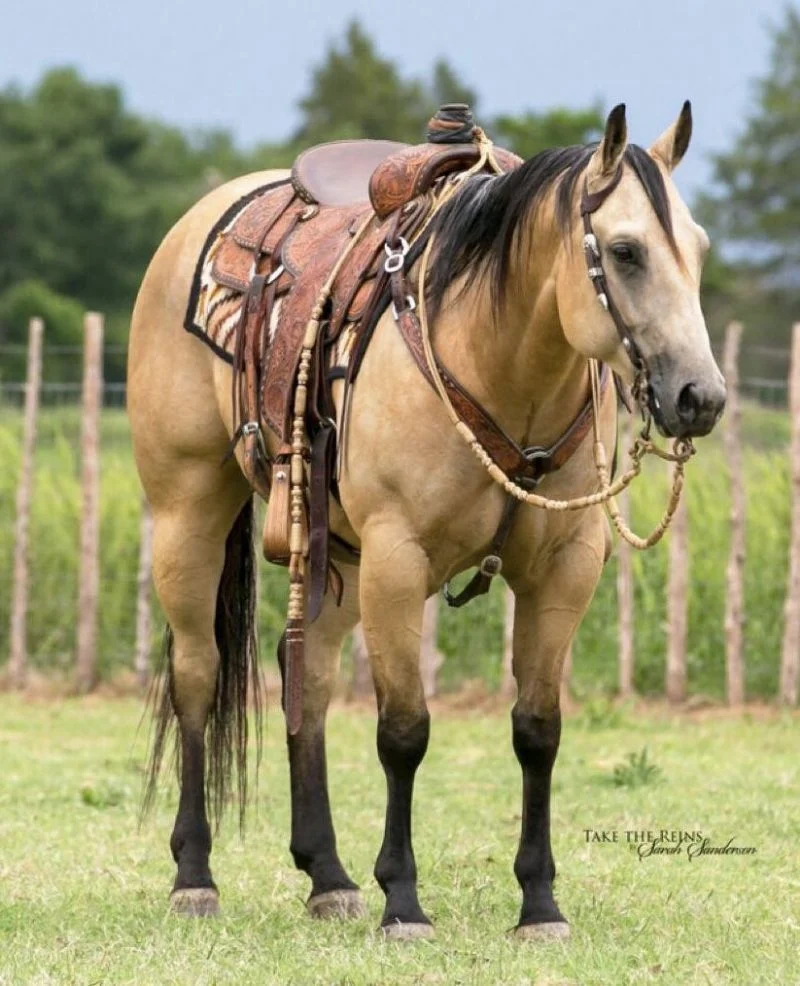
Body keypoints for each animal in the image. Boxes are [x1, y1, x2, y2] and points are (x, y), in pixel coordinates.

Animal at [127, 102, 725, 939]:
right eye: (627, 251)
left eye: (697, 249)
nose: (701, 397)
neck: (498, 363)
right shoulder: (397, 558)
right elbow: (404, 731)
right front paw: (403, 902)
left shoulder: (564, 569)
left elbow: (538, 730)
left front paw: (540, 904)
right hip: (189, 507)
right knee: (197, 675)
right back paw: (195, 876)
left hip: (335, 556)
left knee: (306, 676)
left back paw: (327, 876)